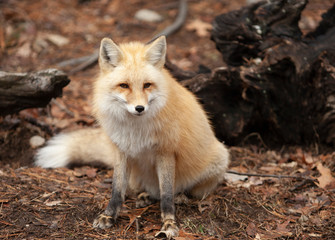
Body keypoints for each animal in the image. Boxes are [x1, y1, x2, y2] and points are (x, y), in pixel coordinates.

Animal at [36, 35, 231, 238]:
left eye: (147, 85)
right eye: (124, 86)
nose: (139, 108)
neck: (135, 131)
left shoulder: (166, 152)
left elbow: (167, 194)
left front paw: (169, 223)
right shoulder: (122, 151)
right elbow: (117, 190)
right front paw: (109, 216)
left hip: (218, 160)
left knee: (184, 191)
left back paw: (181, 196)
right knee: (151, 191)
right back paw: (146, 196)